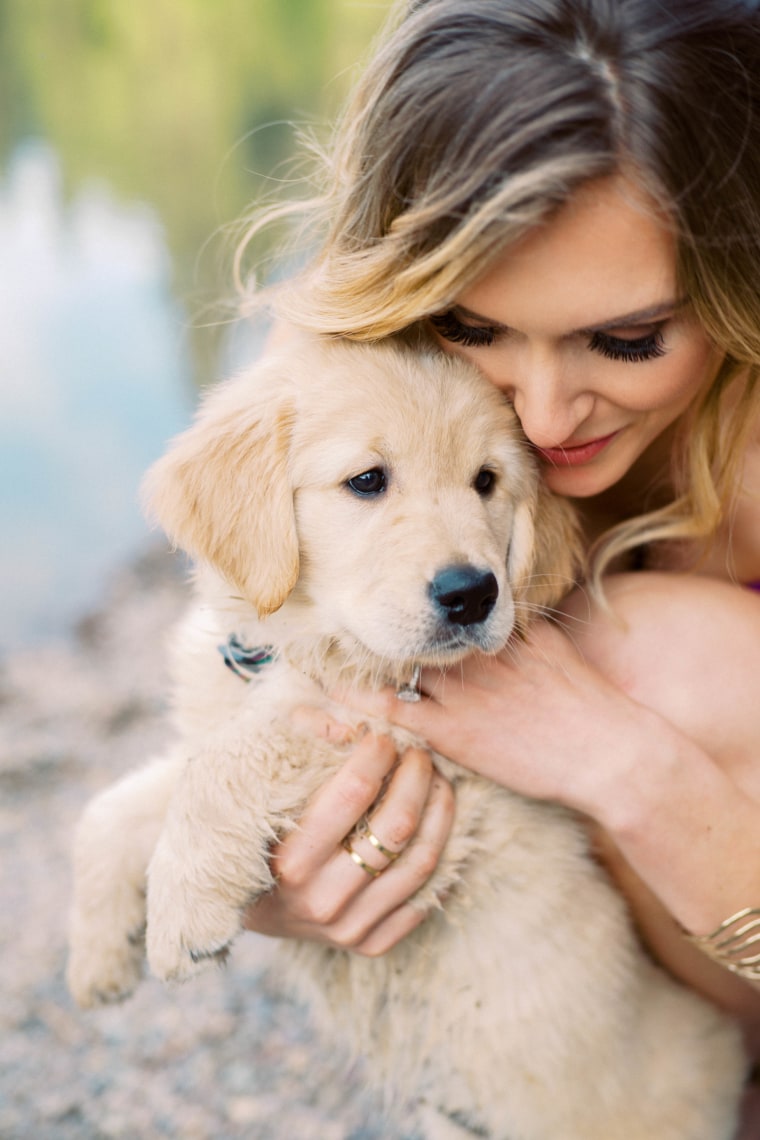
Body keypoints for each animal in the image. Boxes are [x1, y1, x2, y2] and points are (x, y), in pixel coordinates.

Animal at [68, 332, 747, 1135]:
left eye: (487, 481)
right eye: (367, 481)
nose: (472, 594)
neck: (305, 647)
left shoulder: (419, 757)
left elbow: (236, 756)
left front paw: (182, 912)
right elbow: (121, 803)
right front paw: (97, 955)